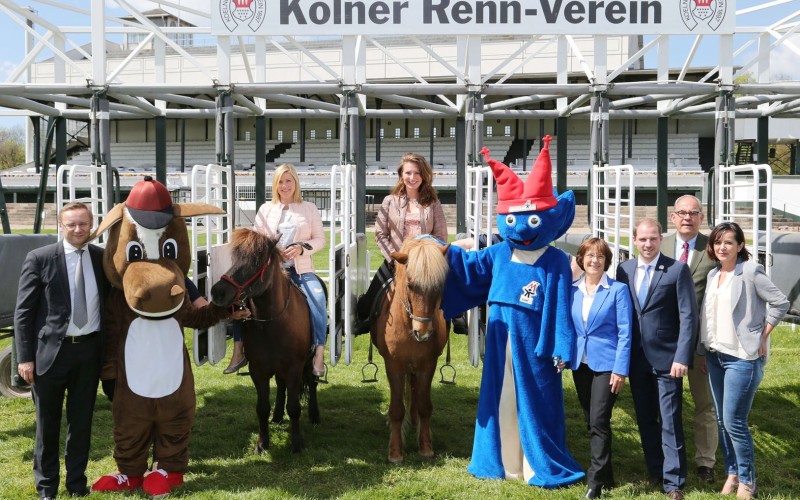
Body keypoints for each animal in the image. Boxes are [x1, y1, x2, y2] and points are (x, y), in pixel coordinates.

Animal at [211, 229, 320, 456]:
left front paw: (297, 443)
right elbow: (262, 408)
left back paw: (315, 415)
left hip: (310, 361)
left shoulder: (294, 369)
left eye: (257, 261)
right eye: (235, 257)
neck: (273, 322)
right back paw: (277, 415)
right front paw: (262, 443)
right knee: (280, 385)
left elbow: (294, 407)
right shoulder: (258, 370)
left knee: (312, 382)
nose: (218, 292)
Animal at [370, 236, 450, 462]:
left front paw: (425, 447)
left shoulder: (427, 365)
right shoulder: (394, 366)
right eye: (410, 285)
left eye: (439, 287)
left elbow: (424, 406)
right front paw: (395, 452)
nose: (422, 333)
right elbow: (397, 409)